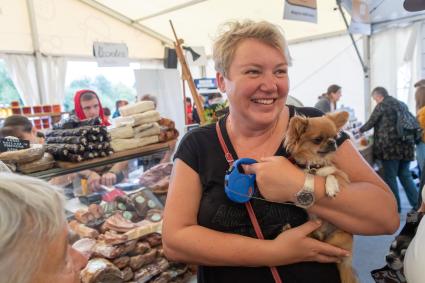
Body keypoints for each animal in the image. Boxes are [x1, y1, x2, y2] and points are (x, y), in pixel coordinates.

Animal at [282, 112, 358, 283]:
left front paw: (331, 187)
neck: (315, 166)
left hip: (337, 239)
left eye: (335, 137)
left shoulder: (342, 176)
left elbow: (331, 174)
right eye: (317, 139)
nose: (332, 142)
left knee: (325, 245)